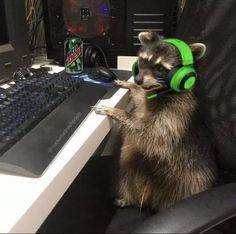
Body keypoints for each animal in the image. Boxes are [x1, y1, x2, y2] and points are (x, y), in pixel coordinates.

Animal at [94, 31, 218, 210]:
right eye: (143, 61)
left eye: (160, 68)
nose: (138, 80)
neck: (161, 89)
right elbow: (141, 99)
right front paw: (131, 86)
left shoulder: (176, 114)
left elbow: (150, 132)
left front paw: (118, 112)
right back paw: (127, 197)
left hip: (188, 181)